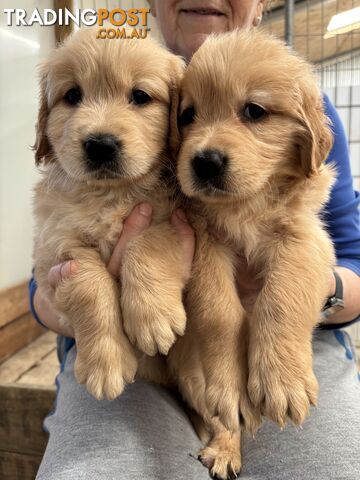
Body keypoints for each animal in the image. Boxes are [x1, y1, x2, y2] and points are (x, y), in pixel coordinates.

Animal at [32, 27, 187, 402]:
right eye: (72, 95)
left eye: (140, 96)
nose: (100, 145)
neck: (110, 196)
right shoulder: (55, 249)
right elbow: (89, 284)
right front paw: (106, 362)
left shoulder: (171, 216)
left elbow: (145, 245)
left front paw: (153, 317)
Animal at [165, 31, 336, 480]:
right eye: (187, 115)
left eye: (254, 111)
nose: (204, 162)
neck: (247, 205)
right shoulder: (206, 242)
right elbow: (220, 313)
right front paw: (232, 387)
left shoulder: (305, 237)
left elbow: (281, 296)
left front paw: (282, 379)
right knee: (220, 418)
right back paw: (226, 446)